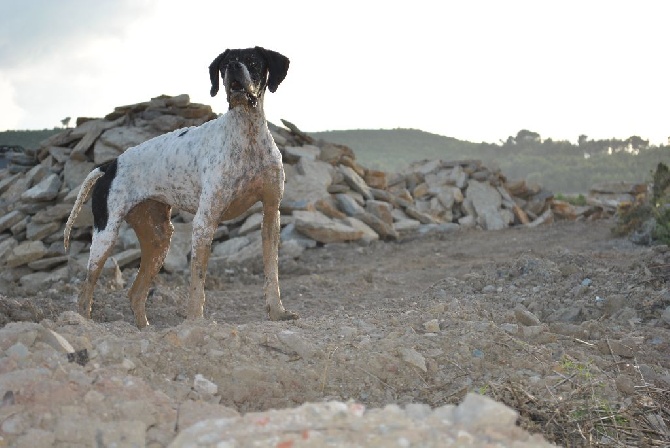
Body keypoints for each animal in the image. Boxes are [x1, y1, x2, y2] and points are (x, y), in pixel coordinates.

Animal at [63, 46, 300, 328]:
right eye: (225, 64)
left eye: (253, 62)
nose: (233, 67)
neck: (247, 135)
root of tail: (110, 165)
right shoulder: (205, 222)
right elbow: (197, 283)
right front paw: (196, 323)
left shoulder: (271, 214)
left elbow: (271, 273)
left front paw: (277, 312)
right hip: (105, 237)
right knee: (85, 293)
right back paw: (83, 322)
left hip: (159, 238)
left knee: (135, 293)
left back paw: (144, 329)